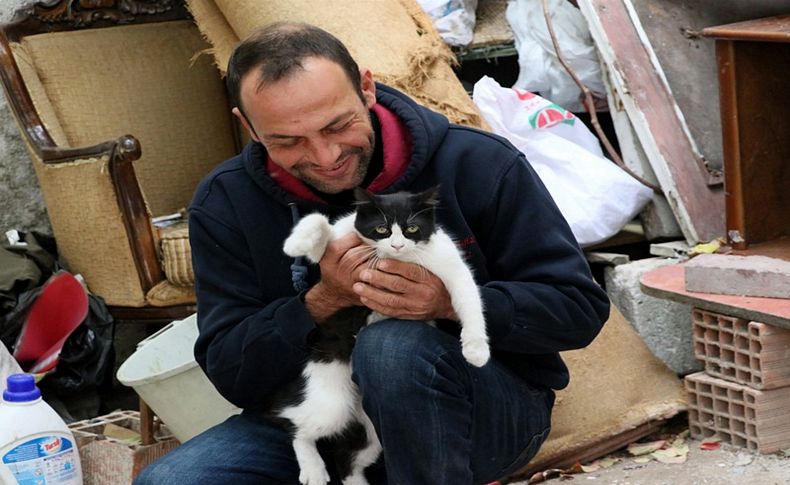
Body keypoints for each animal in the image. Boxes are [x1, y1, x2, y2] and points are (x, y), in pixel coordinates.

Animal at [276, 186, 488, 484]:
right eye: (381, 228)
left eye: (412, 228)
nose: (397, 246)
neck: (394, 260)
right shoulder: (339, 246)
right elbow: (319, 223)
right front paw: (294, 244)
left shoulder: (446, 262)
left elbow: (467, 295)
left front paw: (476, 350)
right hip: (330, 395)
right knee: (295, 425)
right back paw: (313, 469)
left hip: (370, 428)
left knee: (347, 461)